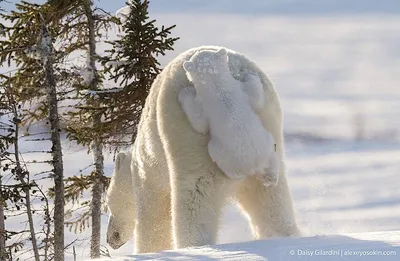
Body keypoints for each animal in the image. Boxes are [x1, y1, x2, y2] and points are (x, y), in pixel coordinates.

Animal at [178, 47, 278, 185]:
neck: (219, 89)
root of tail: (255, 165)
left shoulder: (206, 104)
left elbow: (200, 124)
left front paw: (184, 92)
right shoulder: (240, 92)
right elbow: (256, 98)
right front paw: (251, 74)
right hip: (265, 145)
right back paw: (271, 178)